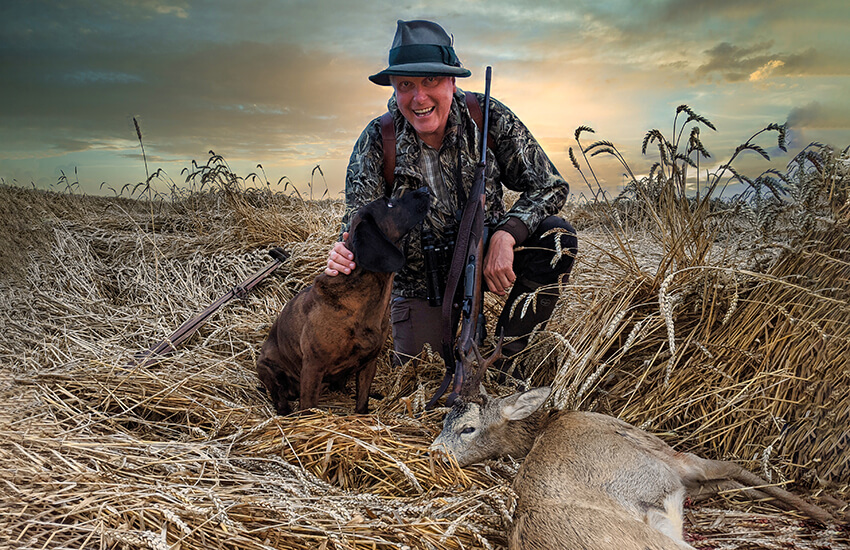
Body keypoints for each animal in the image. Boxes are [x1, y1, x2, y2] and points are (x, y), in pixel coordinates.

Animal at [253, 188, 428, 416]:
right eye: (389, 204)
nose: (424, 190)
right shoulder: (313, 367)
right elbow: (308, 406)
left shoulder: (368, 363)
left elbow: (362, 400)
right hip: (268, 369)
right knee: (278, 395)